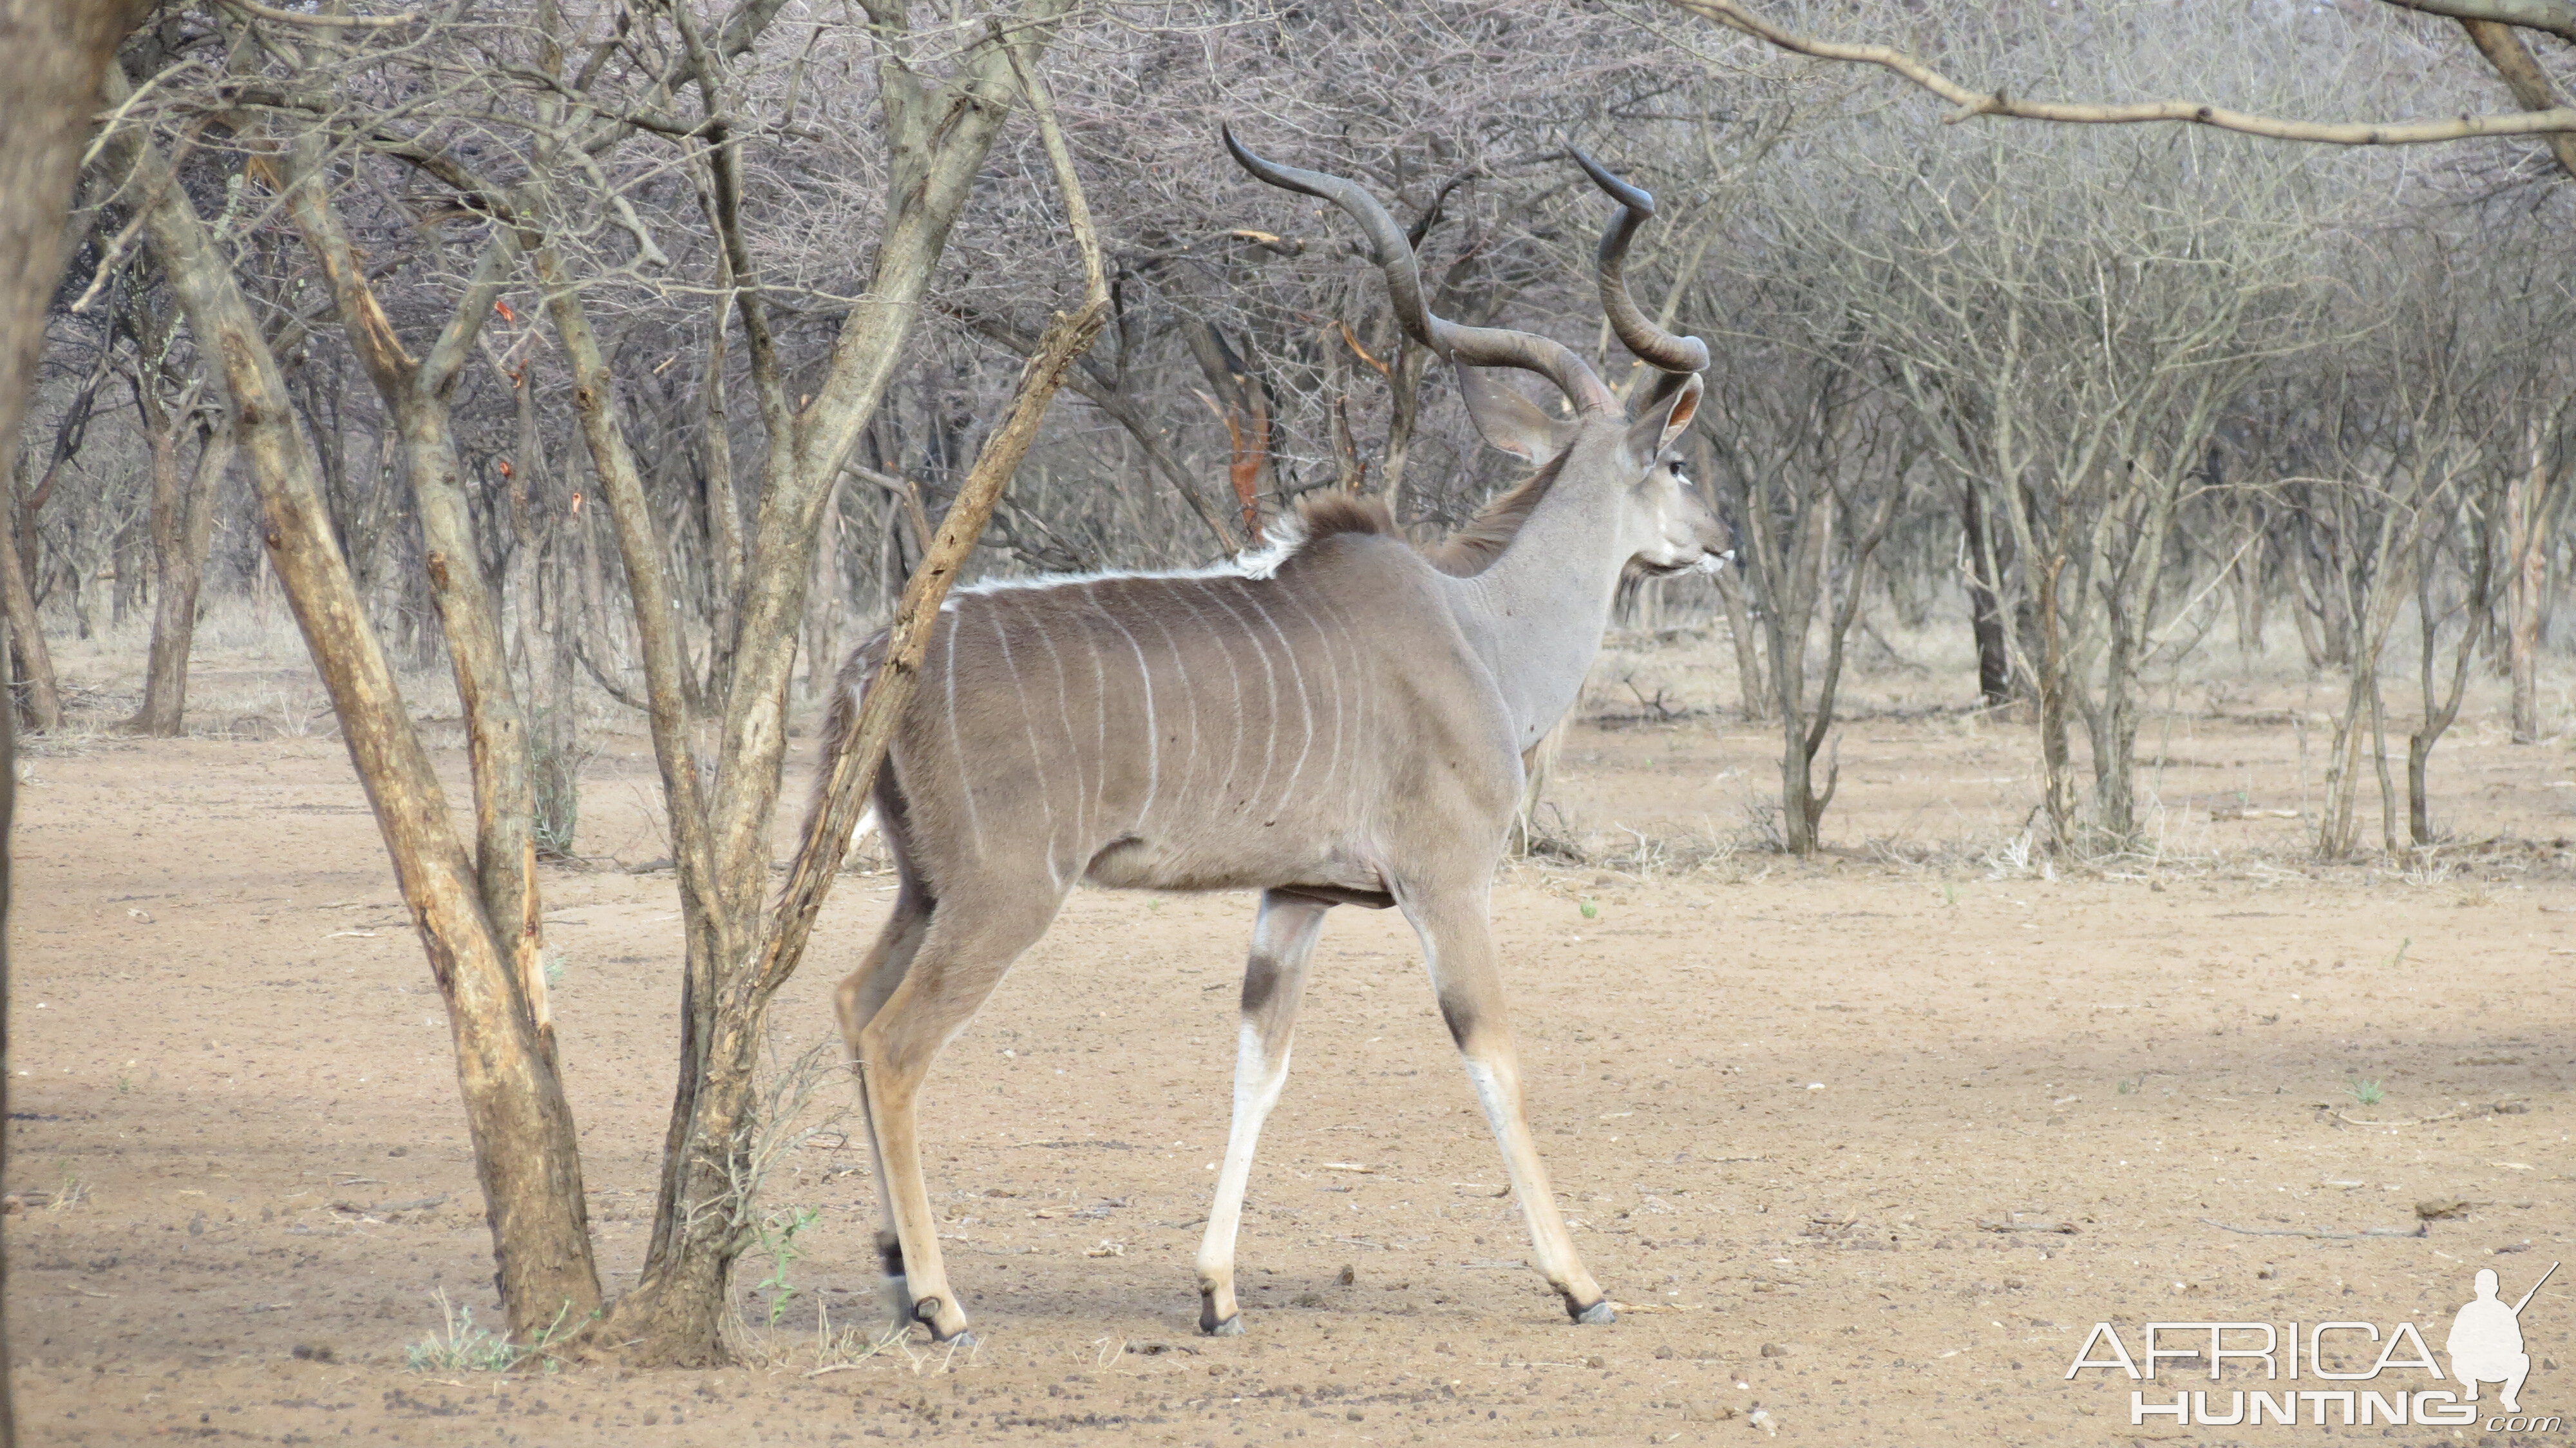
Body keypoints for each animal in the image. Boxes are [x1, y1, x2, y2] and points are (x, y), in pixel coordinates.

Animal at [814, 129, 1721, 1340]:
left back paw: (890, 1265)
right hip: (1006, 893)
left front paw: (1217, 1291)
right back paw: (940, 1298)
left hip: (927, 885)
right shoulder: (1446, 882)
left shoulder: (1297, 896)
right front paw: (1579, 1282)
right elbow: (1493, 1057)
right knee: (896, 1040)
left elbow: (1260, 1065)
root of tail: (874, 663)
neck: (1479, 627)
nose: (1719, 540)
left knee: (850, 1002)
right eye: (1676, 462)